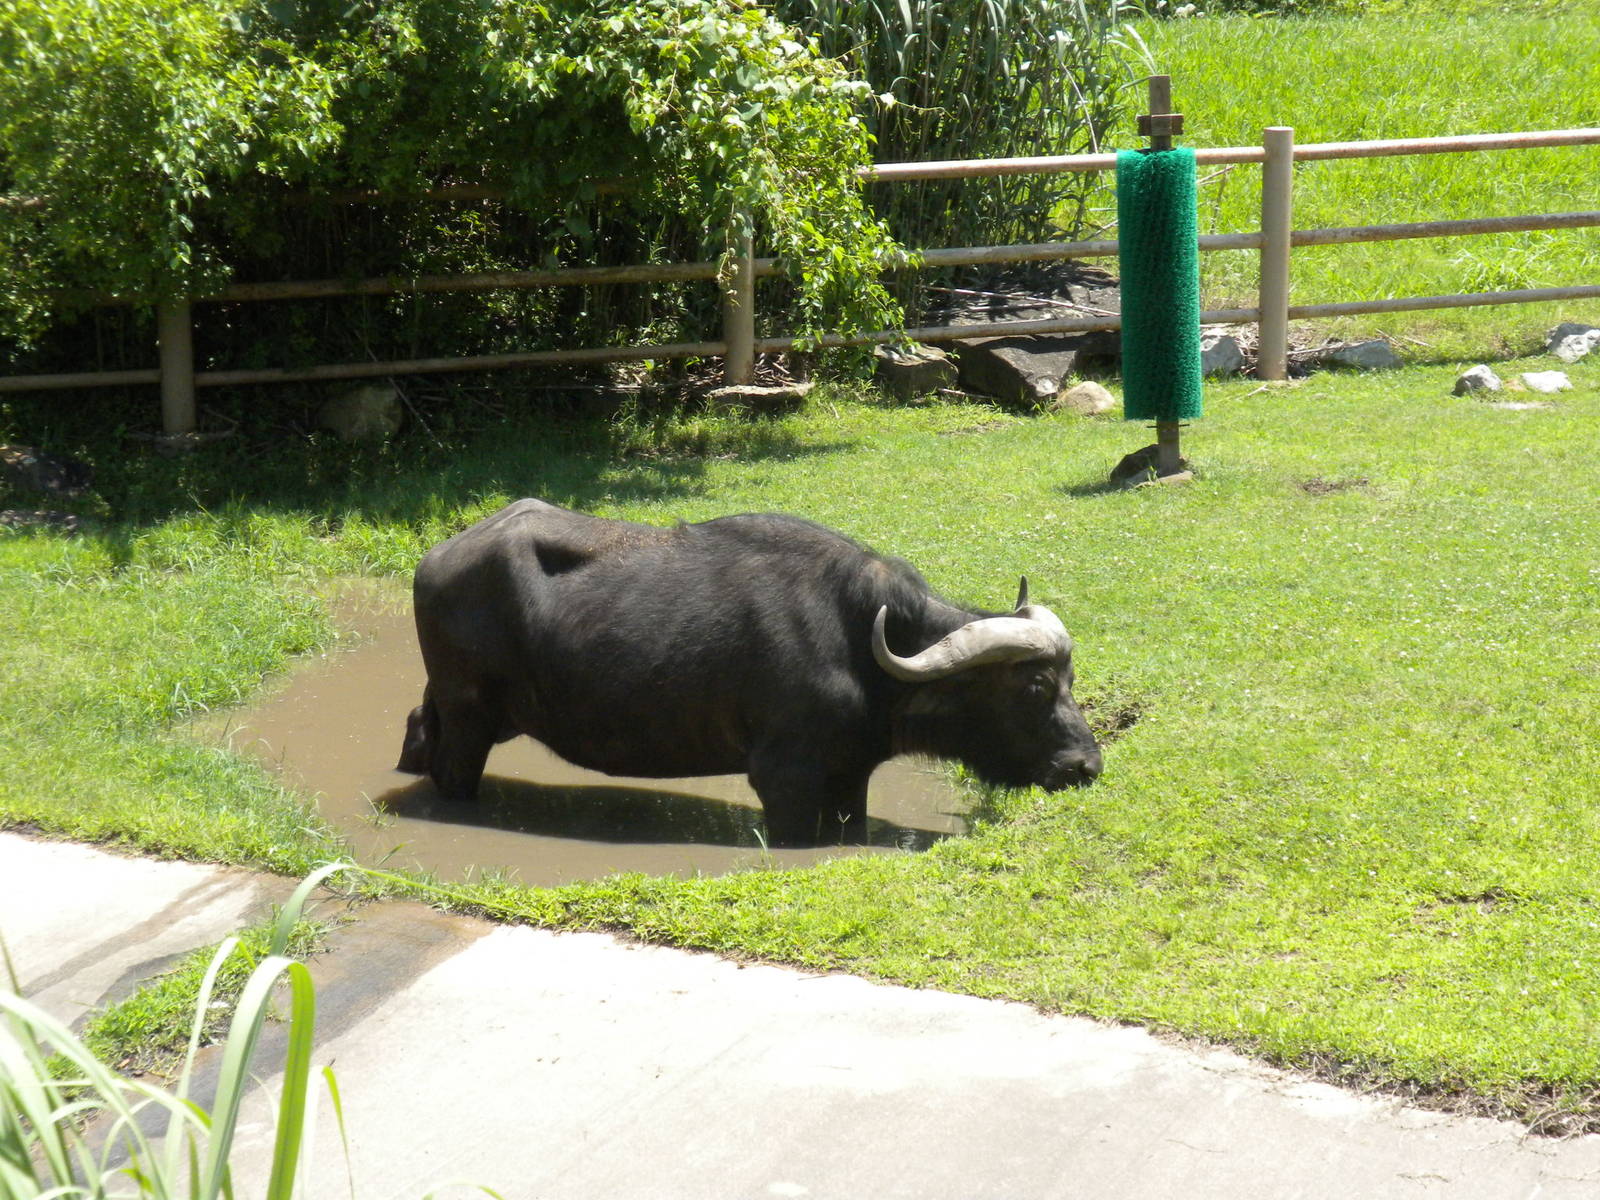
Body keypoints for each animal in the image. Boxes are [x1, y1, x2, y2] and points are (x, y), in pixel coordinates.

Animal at [397, 499, 1101, 847]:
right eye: (1035, 686)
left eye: (1070, 682)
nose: (1086, 766)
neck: (859, 645)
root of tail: (437, 557)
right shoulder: (783, 779)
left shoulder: (849, 775)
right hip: (470, 718)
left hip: (465, 710)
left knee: (416, 728)